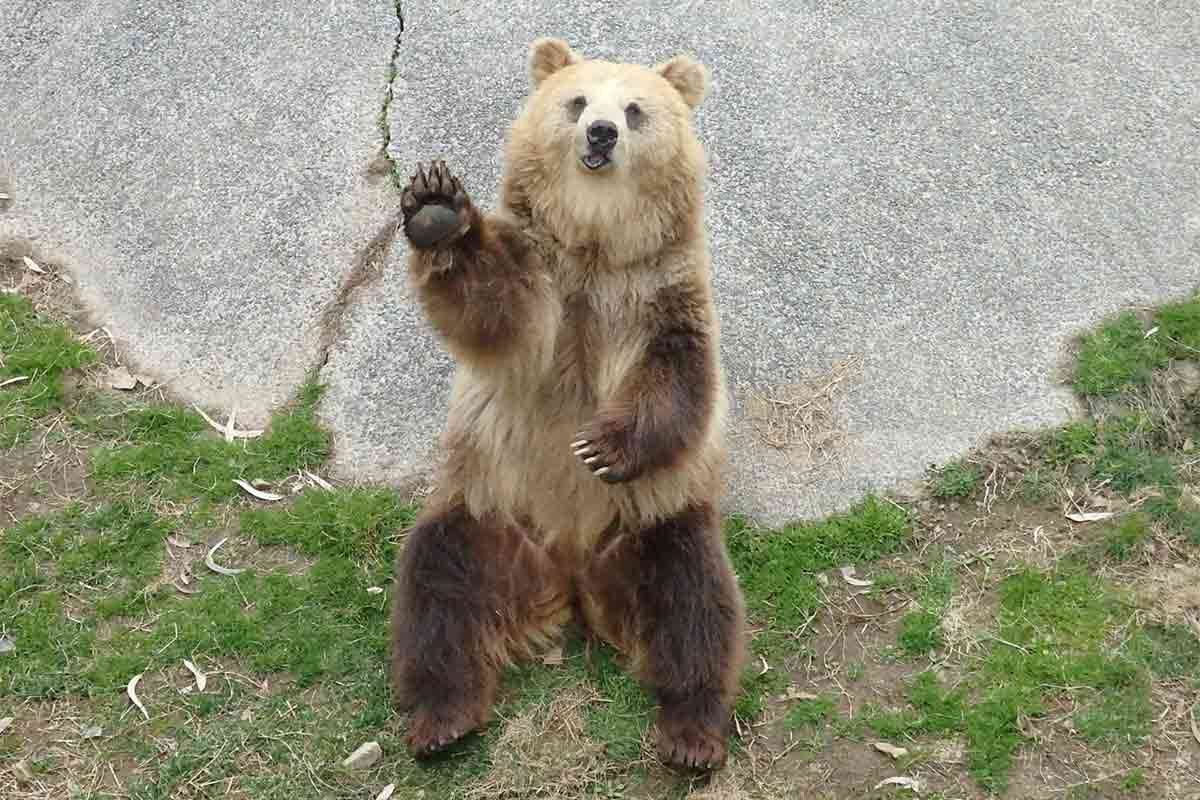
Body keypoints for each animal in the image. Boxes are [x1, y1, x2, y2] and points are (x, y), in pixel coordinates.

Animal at [389, 37, 747, 771]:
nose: (601, 133)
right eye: (577, 101)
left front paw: (599, 447)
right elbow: (490, 307)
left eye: (635, 109)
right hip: (487, 509)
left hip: (656, 521)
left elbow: (679, 379)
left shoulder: (663, 293)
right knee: (437, 589)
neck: (598, 243)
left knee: (696, 603)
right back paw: (442, 718)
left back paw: (692, 732)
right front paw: (436, 206)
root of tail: (571, 575)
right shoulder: (542, 277)